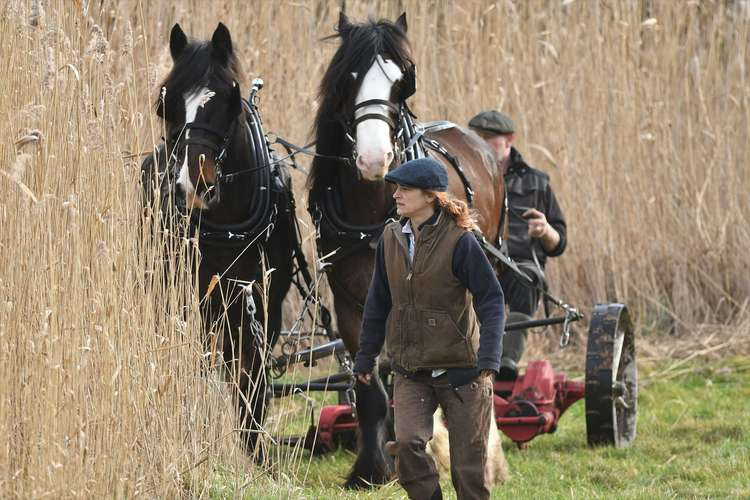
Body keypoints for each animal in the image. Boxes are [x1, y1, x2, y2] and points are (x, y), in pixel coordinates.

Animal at [142, 23, 296, 460]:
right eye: (166, 104)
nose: (193, 186)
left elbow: (252, 377)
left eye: (228, 99)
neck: (228, 222)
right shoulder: (191, 295)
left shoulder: (262, 300)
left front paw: (252, 451)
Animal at [308, 12, 508, 488]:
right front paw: (372, 467)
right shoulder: (351, 300)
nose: (374, 159)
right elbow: (373, 384)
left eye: (401, 82)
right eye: (349, 77)